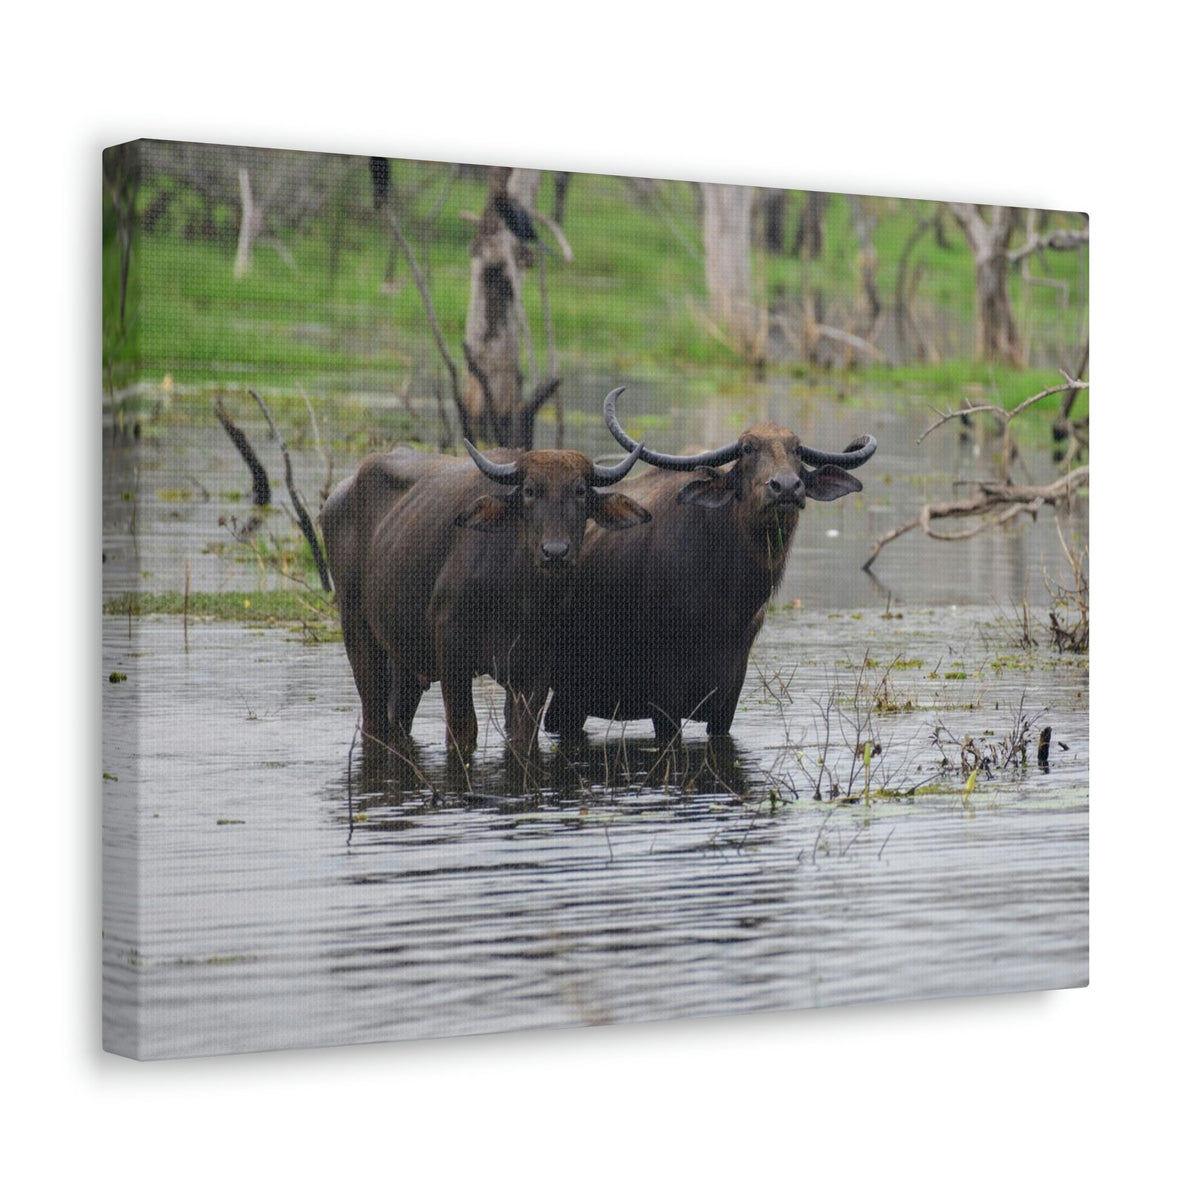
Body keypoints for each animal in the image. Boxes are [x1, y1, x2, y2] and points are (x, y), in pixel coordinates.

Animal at [321, 439, 651, 763]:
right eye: (529, 490)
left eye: (580, 491)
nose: (555, 552)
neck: (520, 597)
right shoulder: (451, 651)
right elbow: (464, 731)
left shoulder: (536, 668)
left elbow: (524, 737)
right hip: (357, 632)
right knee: (374, 720)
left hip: (405, 657)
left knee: (397, 717)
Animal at [544, 388, 877, 743]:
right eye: (747, 449)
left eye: (797, 449)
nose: (786, 487)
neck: (725, 604)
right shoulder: (664, 699)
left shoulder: (728, 699)